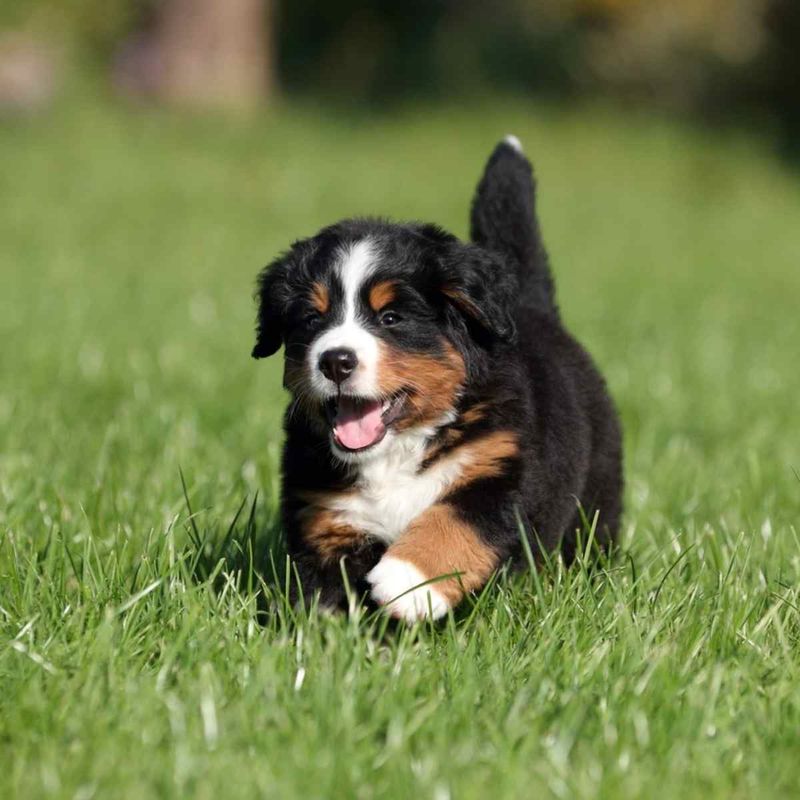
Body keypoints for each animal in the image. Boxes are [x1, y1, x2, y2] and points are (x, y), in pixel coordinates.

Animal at [253, 138, 620, 620]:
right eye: (312, 320)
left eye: (391, 318)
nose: (335, 361)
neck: (395, 452)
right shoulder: (326, 512)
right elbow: (324, 592)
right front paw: (319, 630)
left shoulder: (506, 468)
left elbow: (459, 519)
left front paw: (409, 581)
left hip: (596, 494)